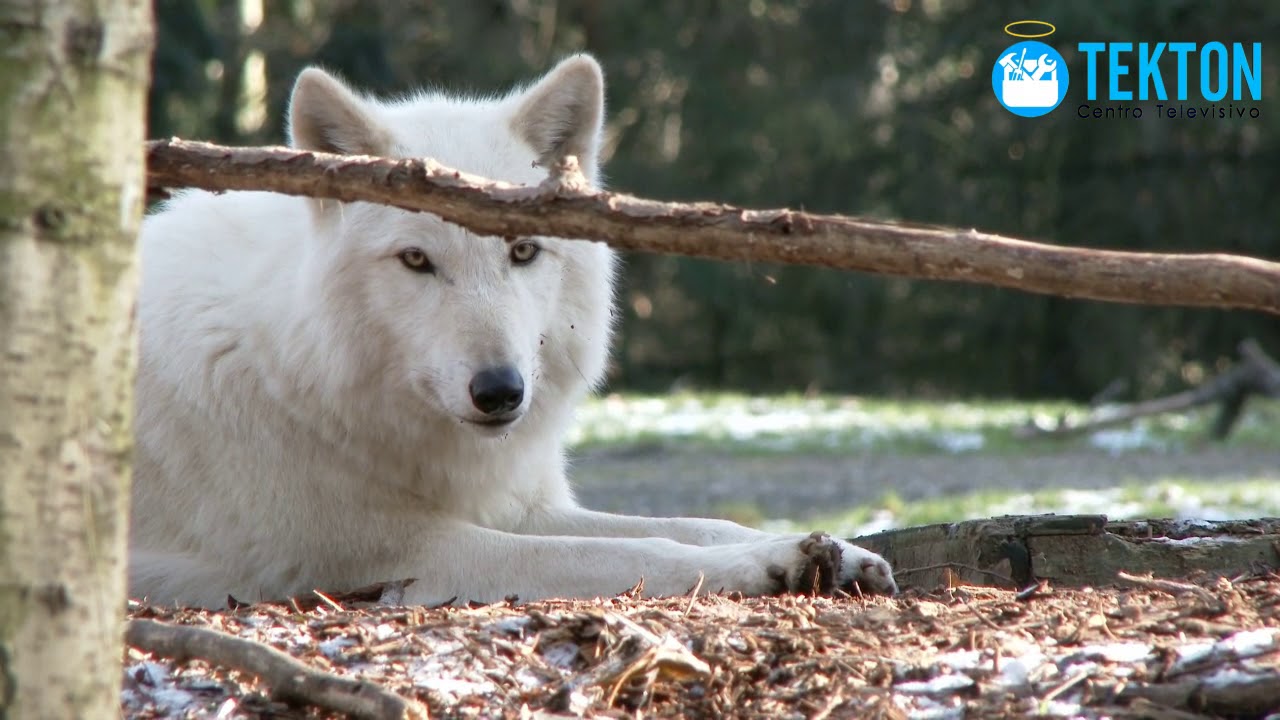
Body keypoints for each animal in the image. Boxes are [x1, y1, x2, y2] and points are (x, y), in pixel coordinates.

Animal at [127, 54, 890, 604]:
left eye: (523, 251)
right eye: (416, 260)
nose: (500, 392)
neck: (293, 372)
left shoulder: (518, 505)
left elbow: (694, 525)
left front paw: (829, 552)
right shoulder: (398, 551)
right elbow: (628, 552)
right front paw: (764, 568)